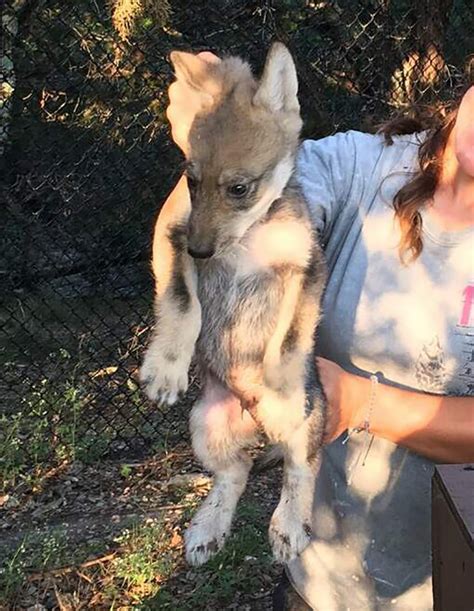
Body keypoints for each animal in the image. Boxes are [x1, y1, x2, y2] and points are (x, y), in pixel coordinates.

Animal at [139, 43, 328, 568]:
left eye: (238, 188)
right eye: (191, 180)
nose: (202, 250)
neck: (248, 238)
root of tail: (251, 421)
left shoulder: (305, 269)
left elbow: (289, 337)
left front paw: (279, 379)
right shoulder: (174, 241)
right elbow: (183, 305)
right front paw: (165, 369)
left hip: (308, 424)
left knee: (300, 468)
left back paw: (288, 526)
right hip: (204, 426)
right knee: (234, 475)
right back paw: (208, 528)